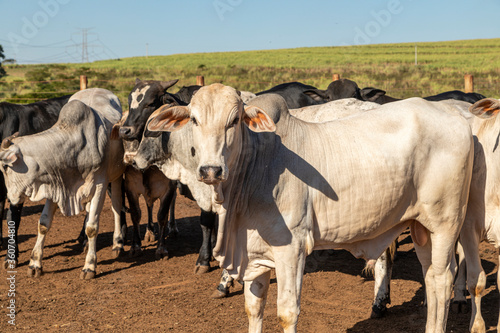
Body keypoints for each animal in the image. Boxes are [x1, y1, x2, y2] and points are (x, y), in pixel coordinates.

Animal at [146, 83, 474, 332]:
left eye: (234, 120)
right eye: (194, 120)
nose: (211, 170)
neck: (256, 166)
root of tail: (458, 116)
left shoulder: (291, 248)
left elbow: (287, 312)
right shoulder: (254, 254)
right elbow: (254, 308)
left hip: (445, 223)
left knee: (442, 279)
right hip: (421, 227)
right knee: (430, 277)